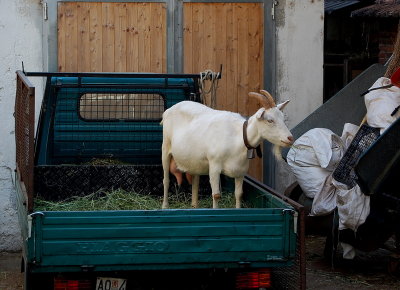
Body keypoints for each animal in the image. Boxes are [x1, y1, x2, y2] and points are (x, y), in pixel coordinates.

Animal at [160, 90, 294, 208]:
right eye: (270, 120)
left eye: (282, 118)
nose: (290, 138)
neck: (238, 137)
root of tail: (168, 110)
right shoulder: (214, 166)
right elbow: (216, 195)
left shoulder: (241, 171)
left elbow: (239, 194)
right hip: (165, 147)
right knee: (166, 179)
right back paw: (165, 206)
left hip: (194, 160)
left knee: (195, 182)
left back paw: (194, 205)